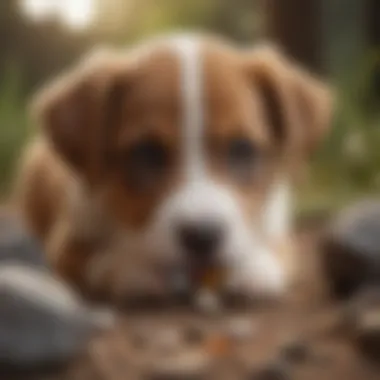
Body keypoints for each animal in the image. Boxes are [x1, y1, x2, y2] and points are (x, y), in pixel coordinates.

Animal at [14, 34, 332, 304]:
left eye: (242, 148)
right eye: (147, 152)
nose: (203, 237)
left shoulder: (279, 230)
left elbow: (277, 250)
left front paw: (253, 265)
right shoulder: (67, 242)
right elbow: (100, 260)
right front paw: (133, 265)